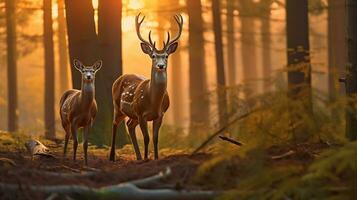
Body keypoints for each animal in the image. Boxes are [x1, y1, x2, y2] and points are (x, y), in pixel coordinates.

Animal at [109, 13, 182, 161]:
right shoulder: (141, 113)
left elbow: (155, 138)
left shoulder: (160, 114)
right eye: (153, 56)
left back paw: (138, 157)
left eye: (166, 56)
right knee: (114, 124)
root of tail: (118, 79)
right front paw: (147, 158)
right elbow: (147, 138)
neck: (153, 102)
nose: (161, 65)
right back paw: (112, 156)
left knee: (129, 125)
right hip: (117, 105)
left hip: (133, 115)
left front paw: (155, 158)